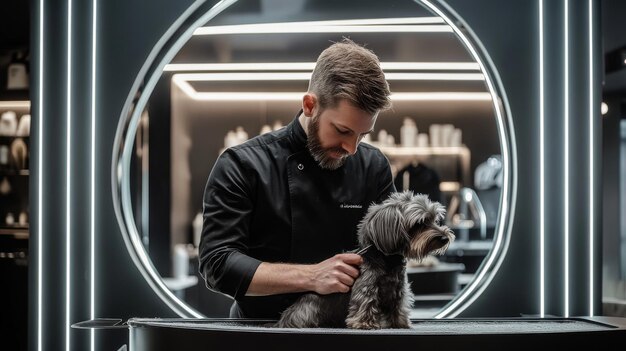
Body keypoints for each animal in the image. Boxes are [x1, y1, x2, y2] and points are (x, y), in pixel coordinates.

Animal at [276, 190, 456, 330]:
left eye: (434, 219)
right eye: (420, 223)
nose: (444, 238)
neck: (389, 260)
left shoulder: (399, 288)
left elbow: (399, 305)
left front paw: (400, 323)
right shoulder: (366, 285)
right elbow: (366, 302)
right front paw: (364, 324)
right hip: (309, 309)